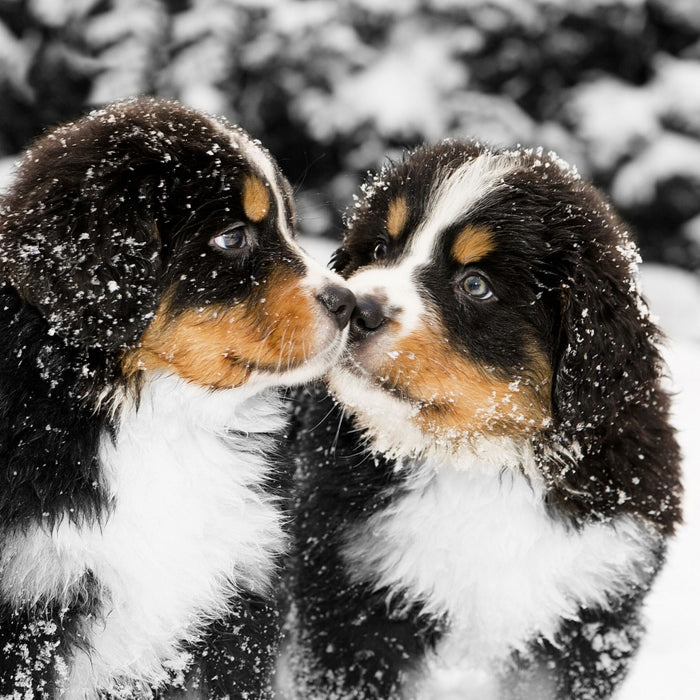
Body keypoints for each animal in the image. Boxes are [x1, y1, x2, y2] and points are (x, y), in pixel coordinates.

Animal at [0, 95, 356, 696]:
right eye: (232, 237)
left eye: (289, 225)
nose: (350, 303)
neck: (161, 419)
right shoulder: (29, 603)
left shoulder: (239, 591)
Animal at [292, 142, 684, 700]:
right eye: (380, 248)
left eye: (475, 285)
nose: (356, 307)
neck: (479, 461)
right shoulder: (354, 601)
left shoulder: (592, 612)